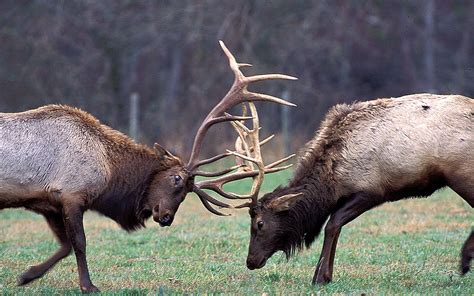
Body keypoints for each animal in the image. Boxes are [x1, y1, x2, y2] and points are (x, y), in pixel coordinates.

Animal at [0, 40, 296, 292]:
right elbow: (79, 244)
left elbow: (65, 246)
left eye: (187, 191)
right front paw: (88, 285)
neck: (109, 170)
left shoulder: (49, 202)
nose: (166, 218)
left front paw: (27, 275)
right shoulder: (72, 193)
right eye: (176, 180)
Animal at [239, 94, 472, 284]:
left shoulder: (370, 190)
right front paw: (327, 274)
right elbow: (336, 226)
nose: (251, 261)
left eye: (260, 223)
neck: (330, 182)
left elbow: (332, 224)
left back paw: (465, 261)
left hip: (461, 173)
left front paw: (320, 276)